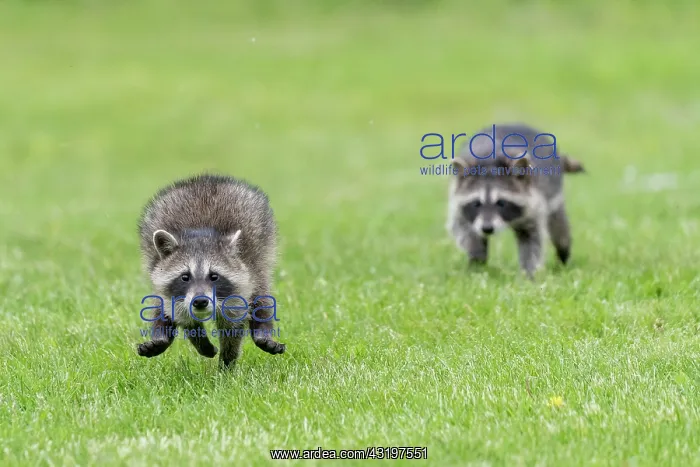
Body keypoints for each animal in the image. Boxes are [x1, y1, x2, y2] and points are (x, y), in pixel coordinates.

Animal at [136, 173, 286, 368]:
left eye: (214, 276)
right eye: (185, 277)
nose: (200, 301)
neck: (202, 233)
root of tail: (207, 178)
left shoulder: (240, 285)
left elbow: (232, 327)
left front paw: (227, 362)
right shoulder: (172, 291)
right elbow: (184, 318)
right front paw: (201, 343)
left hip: (261, 253)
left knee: (261, 289)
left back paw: (262, 331)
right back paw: (161, 335)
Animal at [446, 123, 585, 277]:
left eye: (501, 203)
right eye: (476, 203)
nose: (487, 228)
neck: (490, 162)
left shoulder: (535, 202)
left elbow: (532, 239)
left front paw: (529, 273)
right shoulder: (457, 203)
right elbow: (463, 228)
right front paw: (476, 256)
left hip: (554, 196)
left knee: (559, 230)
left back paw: (563, 254)